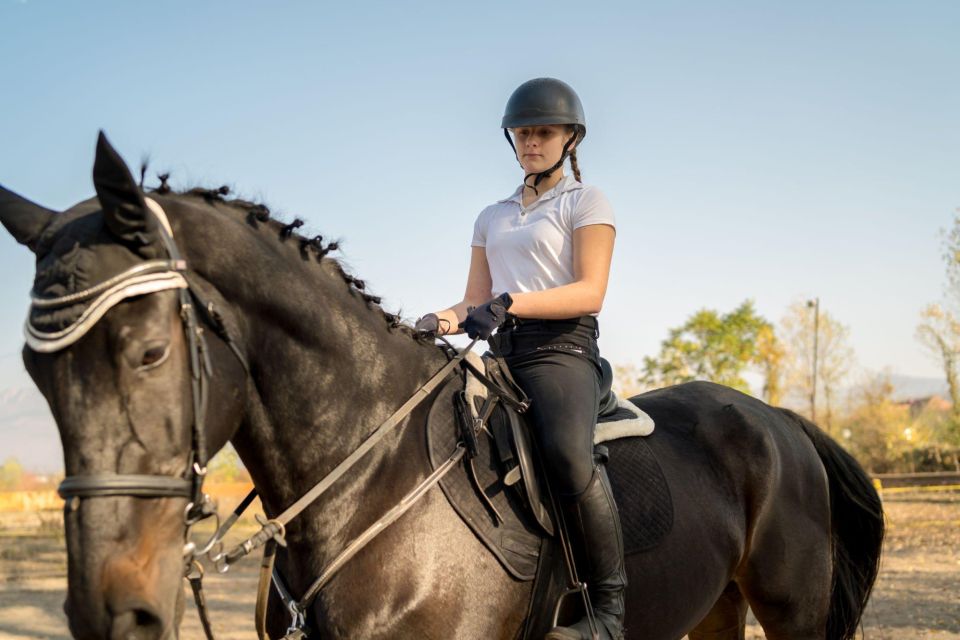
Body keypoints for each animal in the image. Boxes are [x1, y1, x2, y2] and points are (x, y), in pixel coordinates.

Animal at [1, 132, 884, 636]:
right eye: (35, 372)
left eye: (150, 352)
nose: (112, 612)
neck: (369, 486)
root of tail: (779, 419)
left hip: (792, 612)